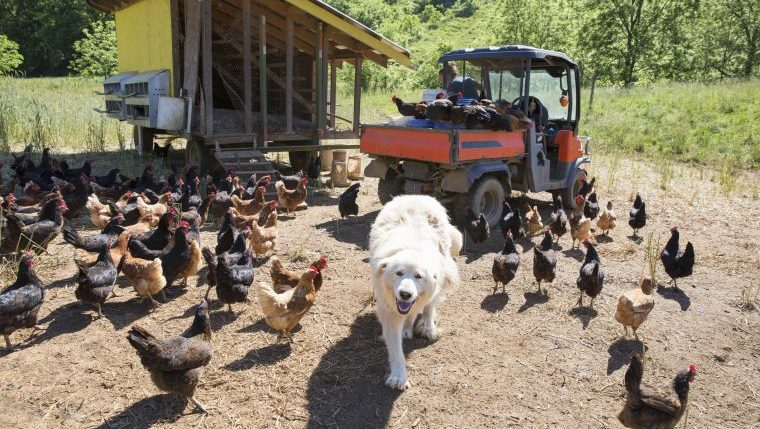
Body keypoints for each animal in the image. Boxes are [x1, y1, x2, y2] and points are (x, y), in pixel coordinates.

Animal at [370, 196, 464, 390]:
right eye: (398, 273)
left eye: (418, 276)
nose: (405, 294)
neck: (412, 248)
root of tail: (416, 196)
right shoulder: (389, 312)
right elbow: (396, 350)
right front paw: (399, 376)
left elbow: (425, 309)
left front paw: (427, 327)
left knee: (427, 307)